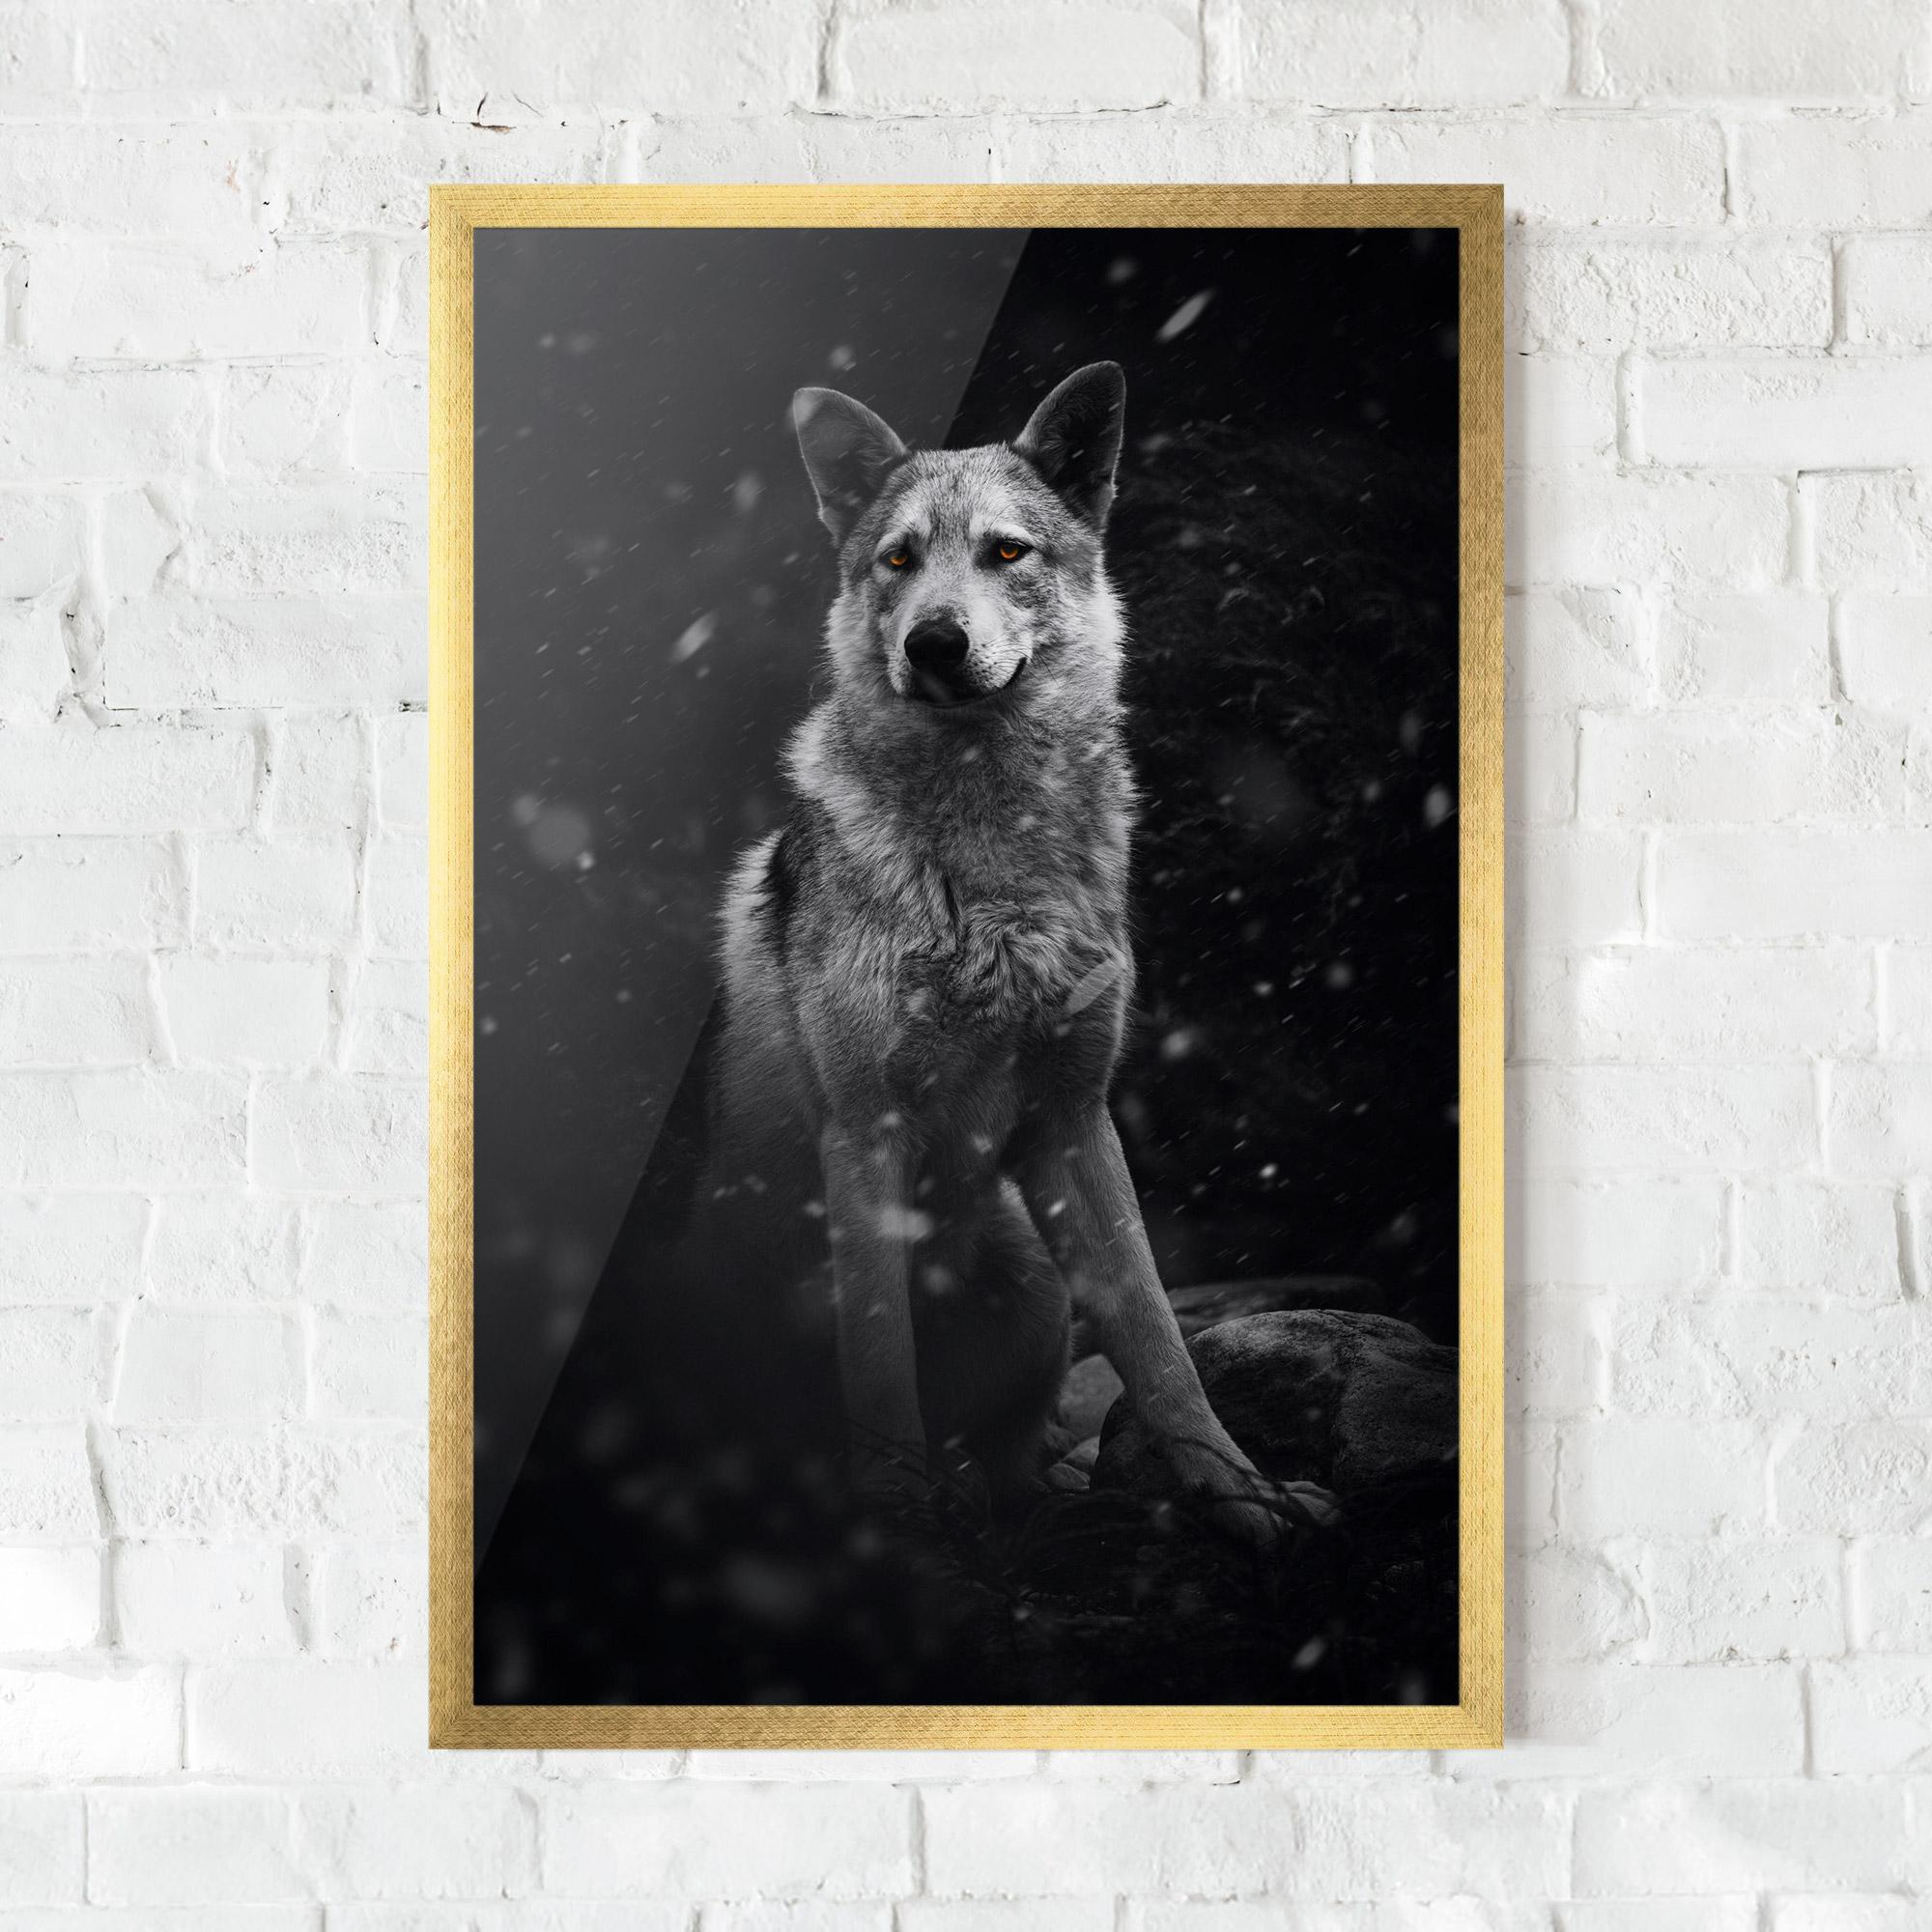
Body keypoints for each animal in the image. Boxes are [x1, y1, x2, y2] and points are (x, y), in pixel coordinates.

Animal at [706, 362, 1295, 1548]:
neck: (990, 876)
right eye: (898, 560)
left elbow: (1160, 1342)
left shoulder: (1074, 1121)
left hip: (1034, 1287)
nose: (932, 642)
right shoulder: (864, 1140)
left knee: (1014, 1463)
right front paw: (891, 1526)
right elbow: (880, 1364)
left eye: (1007, 552)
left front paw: (1241, 1493)